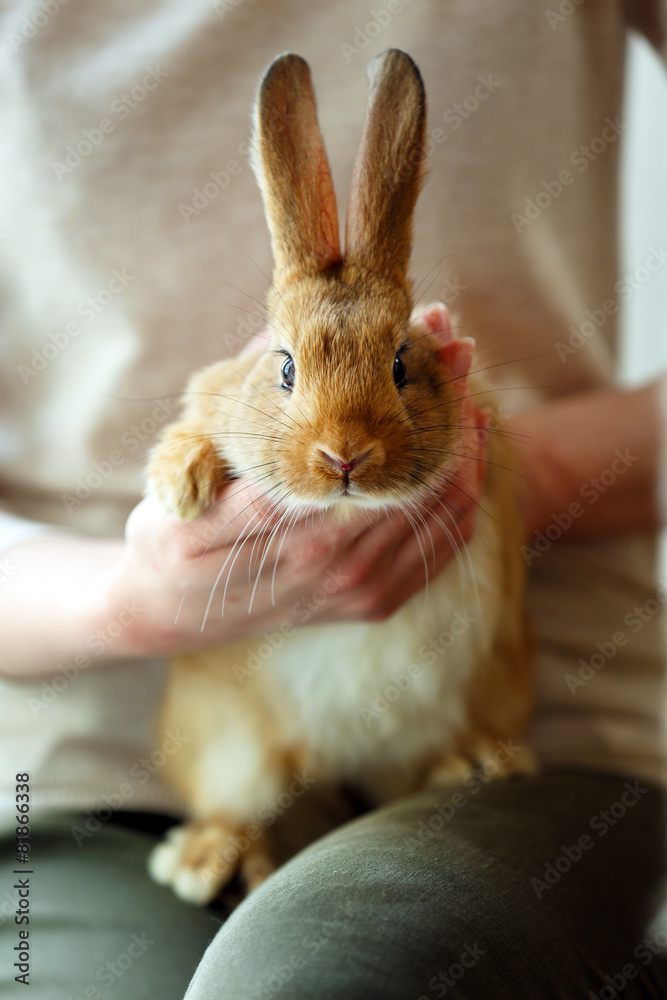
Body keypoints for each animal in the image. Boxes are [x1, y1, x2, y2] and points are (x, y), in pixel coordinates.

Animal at [145, 49, 535, 905]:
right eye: (284, 368)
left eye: (401, 364)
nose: (343, 456)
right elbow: (193, 430)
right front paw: (181, 485)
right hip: (235, 752)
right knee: (239, 805)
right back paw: (205, 864)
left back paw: (484, 762)